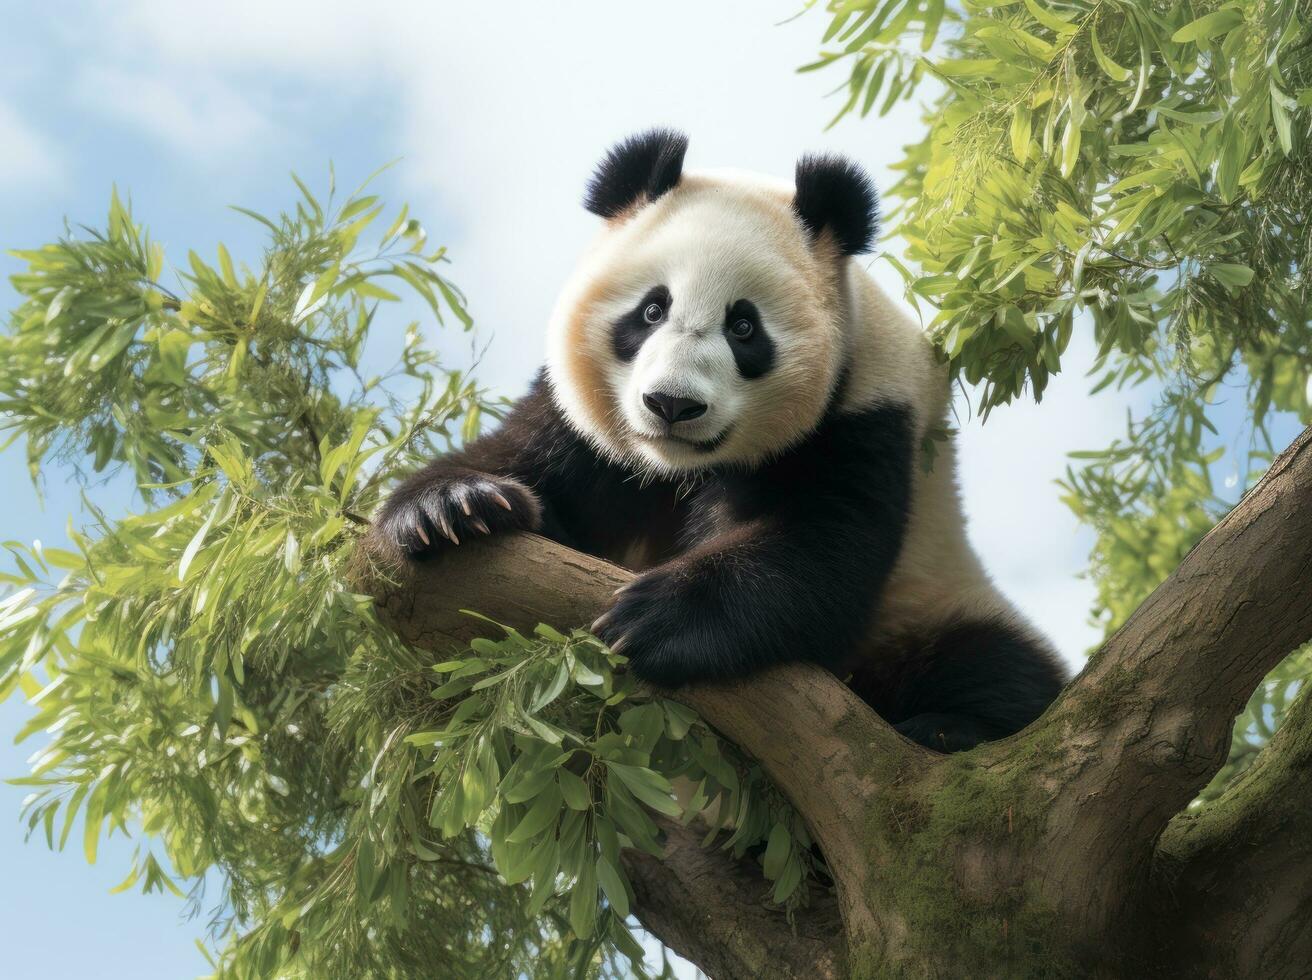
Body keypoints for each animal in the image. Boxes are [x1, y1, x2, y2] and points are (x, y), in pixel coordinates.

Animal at [375, 128, 1070, 750]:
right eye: (651, 309)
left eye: (743, 327)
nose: (672, 404)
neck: (677, 468)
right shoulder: (579, 430)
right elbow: (528, 469)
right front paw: (451, 509)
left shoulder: (865, 415)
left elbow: (821, 547)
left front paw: (657, 619)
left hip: (934, 596)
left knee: (996, 667)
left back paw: (949, 727)